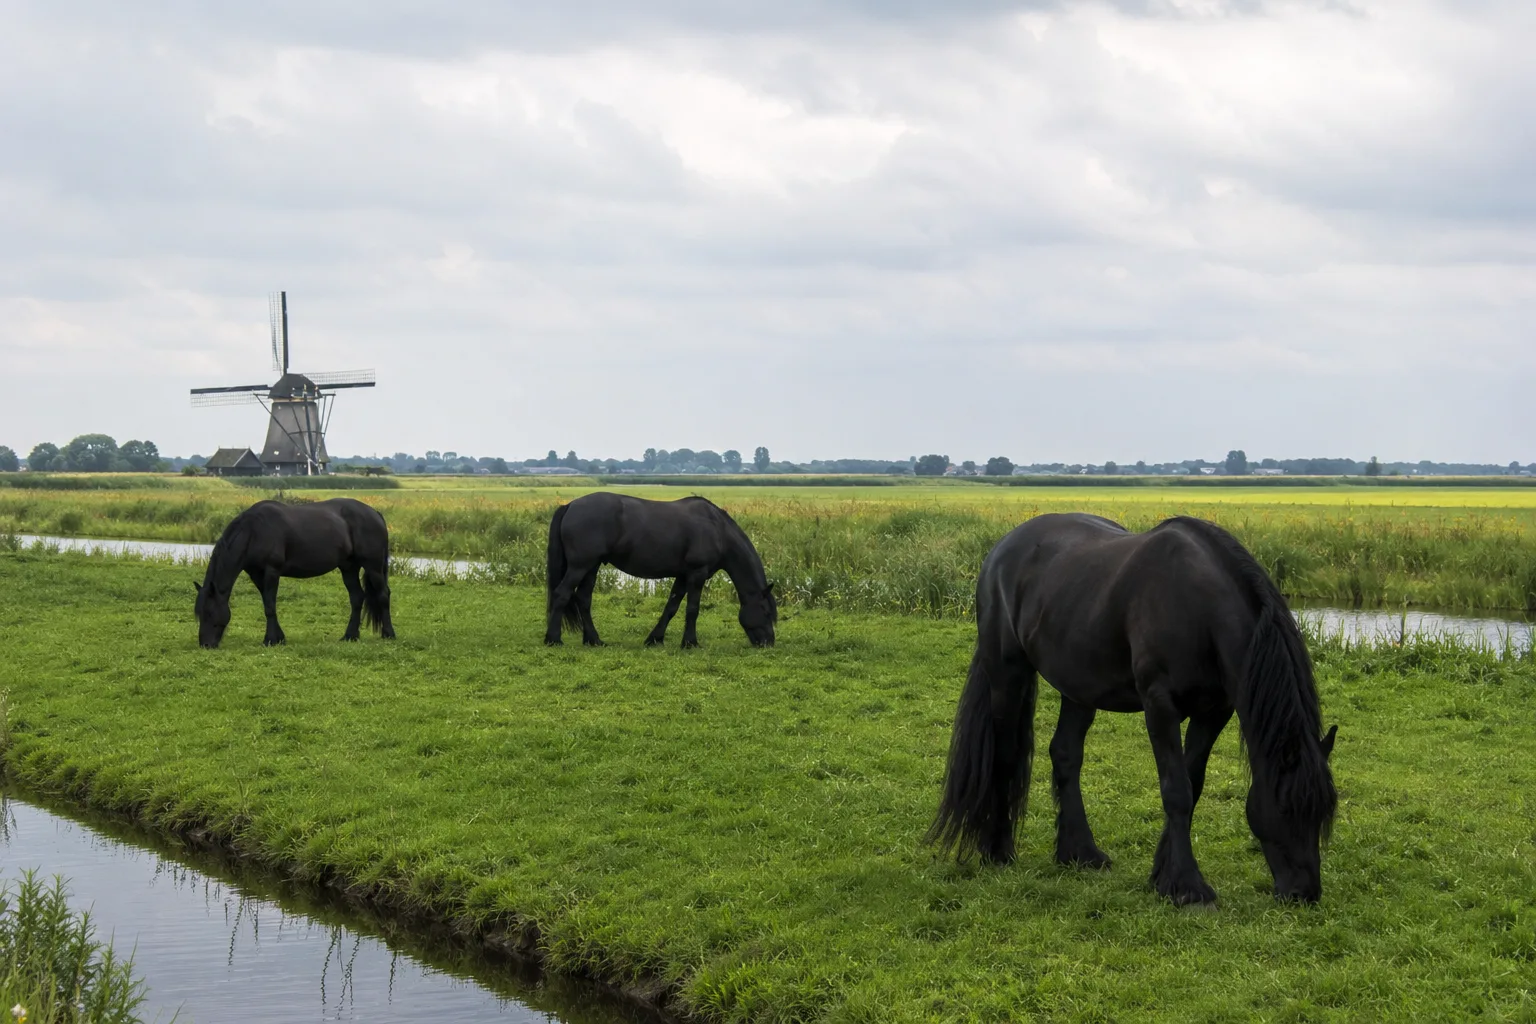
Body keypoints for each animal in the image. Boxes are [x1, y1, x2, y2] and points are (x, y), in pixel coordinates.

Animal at [193, 498, 395, 648]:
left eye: (209, 612)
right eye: (199, 613)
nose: (205, 644)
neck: (254, 532)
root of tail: (376, 514)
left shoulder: (271, 571)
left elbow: (270, 606)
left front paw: (270, 639)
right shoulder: (257, 574)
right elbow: (267, 604)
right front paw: (279, 638)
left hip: (373, 567)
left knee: (383, 595)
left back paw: (389, 634)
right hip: (348, 567)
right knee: (357, 597)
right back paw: (350, 636)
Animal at [545, 492, 777, 648]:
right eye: (766, 612)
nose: (769, 642)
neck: (717, 529)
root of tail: (570, 505)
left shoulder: (683, 576)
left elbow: (671, 607)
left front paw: (655, 639)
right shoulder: (697, 574)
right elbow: (692, 609)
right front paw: (690, 643)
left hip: (591, 567)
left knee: (583, 599)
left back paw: (593, 640)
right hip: (580, 566)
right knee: (562, 594)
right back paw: (553, 639)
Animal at [927, 513, 1337, 905]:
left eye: (1323, 813)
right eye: (1287, 808)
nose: (1305, 893)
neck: (1198, 607)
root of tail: (1001, 549)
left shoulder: (1213, 712)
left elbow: (1193, 784)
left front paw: (1164, 874)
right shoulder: (1160, 706)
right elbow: (1176, 790)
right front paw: (1188, 888)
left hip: (1079, 688)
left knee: (1065, 755)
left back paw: (1080, 853)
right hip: (1007, 674)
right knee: (1005, 755)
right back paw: (997, 851)